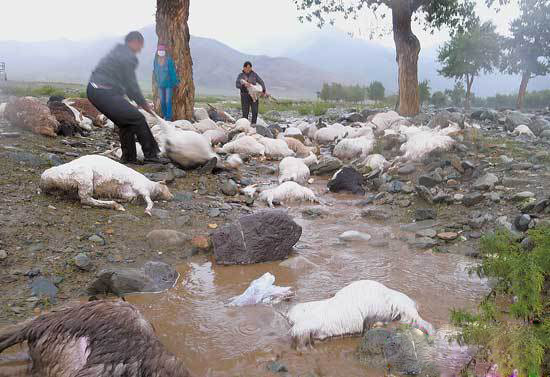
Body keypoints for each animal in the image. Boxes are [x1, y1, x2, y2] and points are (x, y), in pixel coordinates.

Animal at [39, 155, 172, 214]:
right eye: (165, 187)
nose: (172, 196)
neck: (151, 186)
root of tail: (43, 179)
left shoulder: (128, 193)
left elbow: (130, 198)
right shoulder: (142, 188)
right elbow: (150, 202)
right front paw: (148, 211)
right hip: (84, 178)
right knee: (85, 199)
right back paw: (115, 205)